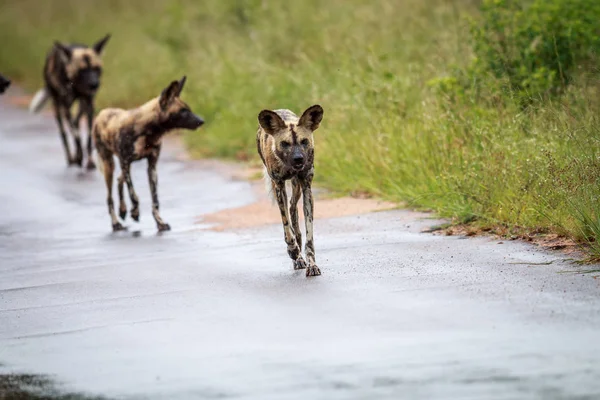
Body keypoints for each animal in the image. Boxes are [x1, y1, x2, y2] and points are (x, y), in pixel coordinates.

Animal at [28, 34, 110, 170]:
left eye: (96, 68)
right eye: (82, 70)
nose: (94, 84)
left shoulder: (89, 104)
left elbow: (88, 137)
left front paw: (89, 161)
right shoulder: (66, 108)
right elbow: (76, 136)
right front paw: (79, 157)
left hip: (82, 106)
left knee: (76, 122)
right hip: (58, 108)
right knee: (65, 134)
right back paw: (71, 158)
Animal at [93, 77, 204, 233]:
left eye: (189, 110)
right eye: (183, 111)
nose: (201, 121)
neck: (149, 131)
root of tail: (102, 113)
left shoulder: (151, 166)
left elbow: (155, 200)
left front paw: (160, 222)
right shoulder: (125, 163)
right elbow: (134, 195)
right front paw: (135, 212)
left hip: (122, 167)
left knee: (119, 180)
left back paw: (123, 210)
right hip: (109, 165)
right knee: (109, 197)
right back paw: (116, 223)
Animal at [256, 104, 326, 276]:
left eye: (304, 141)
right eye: (285, 144)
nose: (298, 159)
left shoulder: (307, 187)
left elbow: (309, 236)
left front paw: (312, 264)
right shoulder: (279, 186)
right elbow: (286, 227)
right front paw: (293, 250)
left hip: (297, 188)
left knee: (293, 207)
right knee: (289, 215)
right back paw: (296, 256)